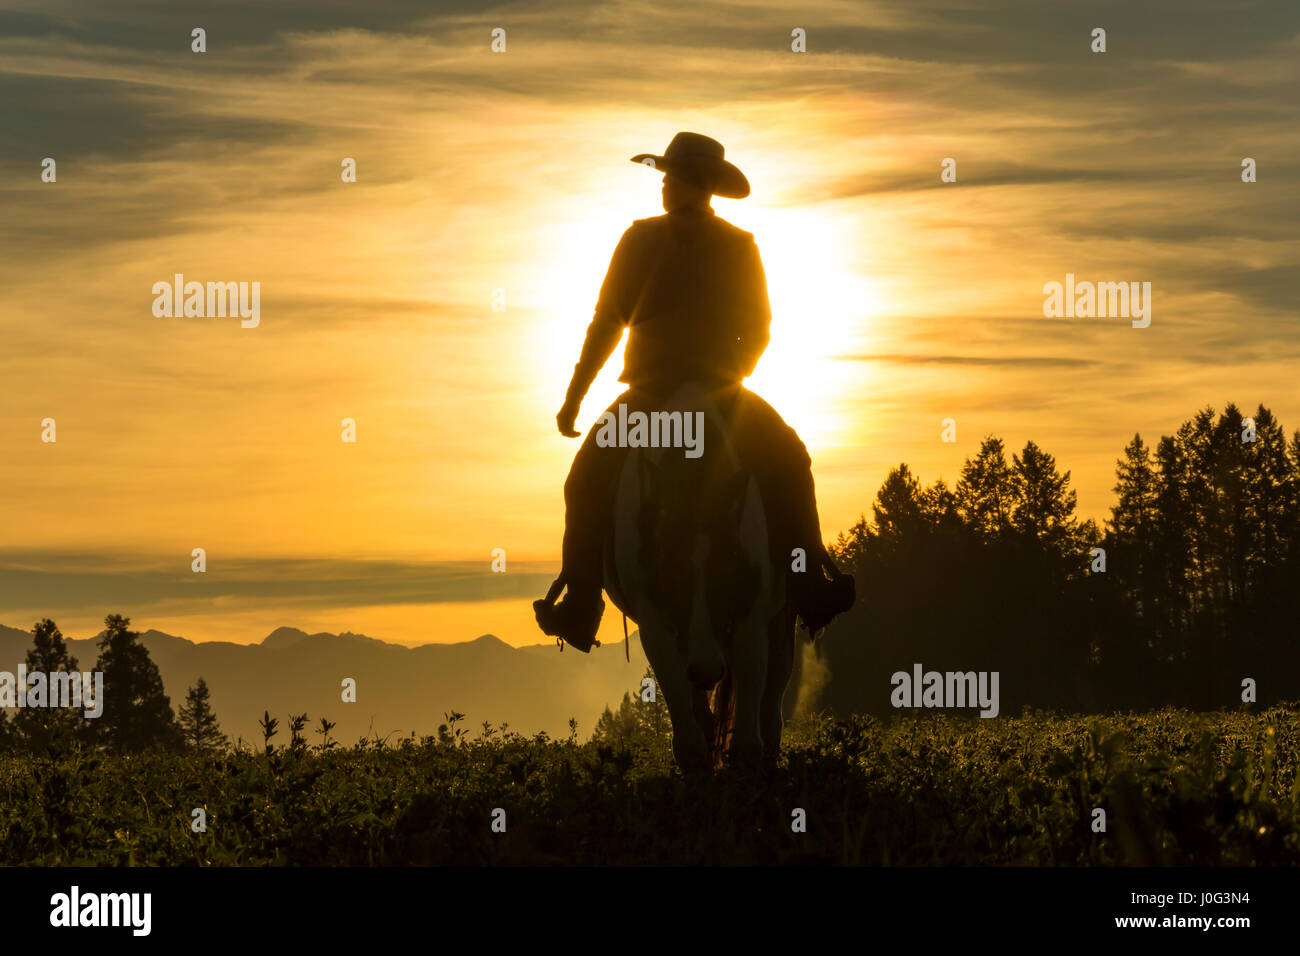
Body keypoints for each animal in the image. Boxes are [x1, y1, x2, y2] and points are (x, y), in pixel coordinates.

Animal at [600, 382, 800, 770]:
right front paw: (698, 760)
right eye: (666, 569)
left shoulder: (750, 615)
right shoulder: (655, 622)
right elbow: (682, 704)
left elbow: (750, 719)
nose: (707, 670)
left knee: (775, 685)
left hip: (781, 617)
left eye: (729, 563)